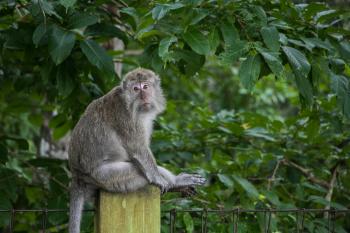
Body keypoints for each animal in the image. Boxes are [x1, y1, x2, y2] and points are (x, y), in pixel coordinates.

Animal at [67, 68, 206, 233]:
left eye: (145, 86)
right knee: (138, 173)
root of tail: (77, 175)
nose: (143, 96)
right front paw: (159, 179)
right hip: (104, 177)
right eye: (136, 89)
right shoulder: (126, 117)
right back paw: (173, 183)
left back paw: (177, 183)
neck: (130, 103)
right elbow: (138, 149)